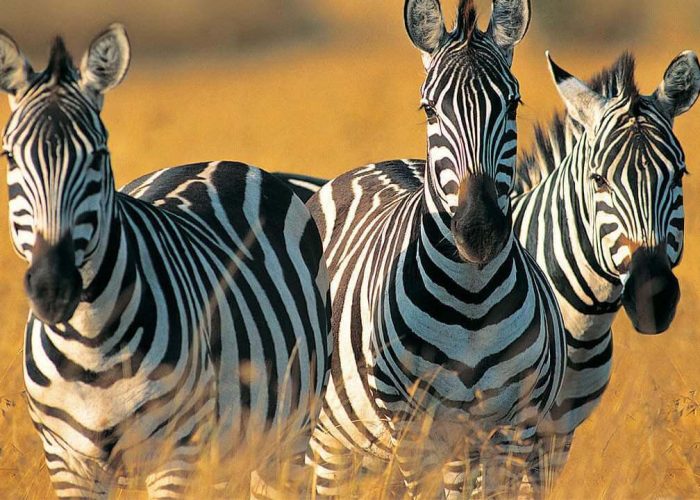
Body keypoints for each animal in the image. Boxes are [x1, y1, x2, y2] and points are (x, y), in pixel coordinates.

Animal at [1, 25, 331, 498]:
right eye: (10, 156)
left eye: (99, 156)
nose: (53, 288)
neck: (90, 348)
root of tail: (222, 161)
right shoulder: (67, 462)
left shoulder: (177, 453)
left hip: (286, 433)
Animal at [304, 0, 566, 497]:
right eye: (429, 110)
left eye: (513, 104)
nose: (479, 230)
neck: (472, 301)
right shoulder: (411, 426)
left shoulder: (513, 426)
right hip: (330, 437)